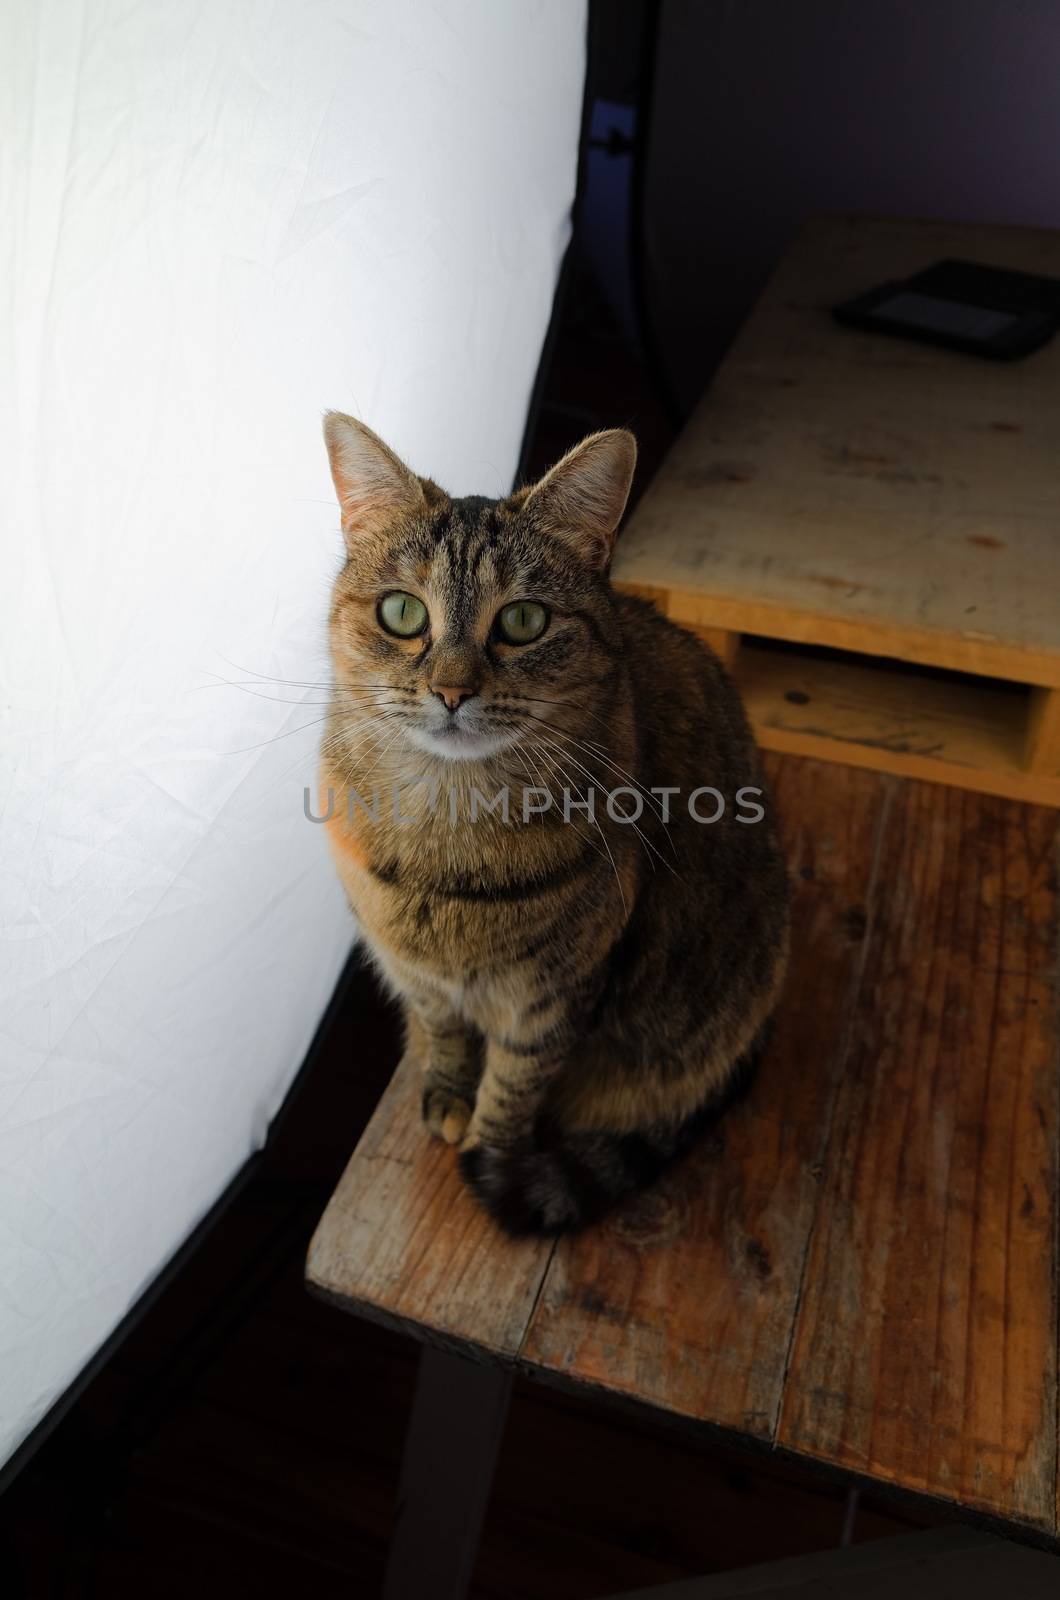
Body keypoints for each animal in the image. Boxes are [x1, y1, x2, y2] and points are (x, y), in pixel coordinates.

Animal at [320, 416, 794, 1235]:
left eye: (523, 620)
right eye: (402, 613)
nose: (451, 691)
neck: (448, 823)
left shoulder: (553, 996)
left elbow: (513, 1087)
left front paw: (485, 1148)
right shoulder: (418, 977)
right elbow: (443, 1036)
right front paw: (446, 1096)